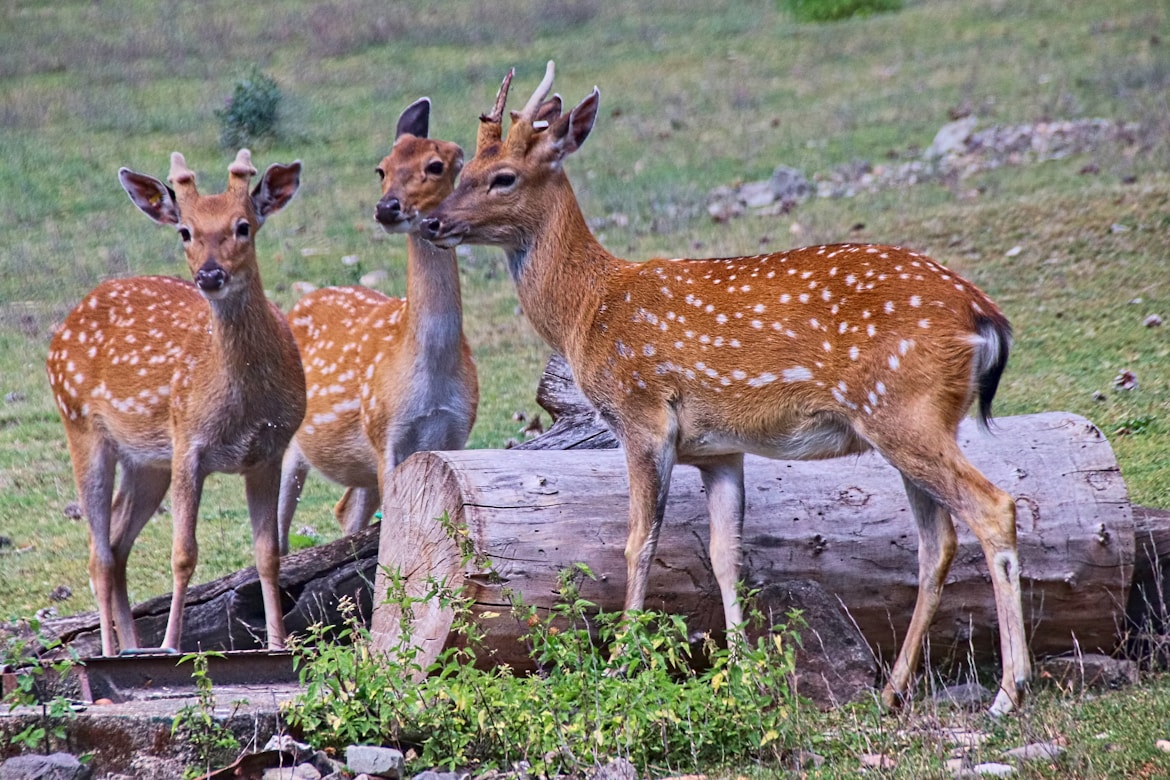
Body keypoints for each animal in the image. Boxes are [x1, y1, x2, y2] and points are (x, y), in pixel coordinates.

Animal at [47, 149, 304, 654]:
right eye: (185, 231)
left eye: (243, 226)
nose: (210, 274)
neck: (243, 403)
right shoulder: (189, 442)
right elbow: (184, 553)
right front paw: (171, 645)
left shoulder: (269, 450)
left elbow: (268, 553)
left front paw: (278, 644)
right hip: (80, 425)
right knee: (98, 556)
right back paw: (111, 652)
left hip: (147, 461)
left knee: (118, 546)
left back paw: (132, 647)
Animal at [276, 97, 477, 551]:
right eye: (381, 169)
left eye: (436, 165)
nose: (387, 207)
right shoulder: (385, 432)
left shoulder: (457, 433)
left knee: (345, 510)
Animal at [425, 64, 1029, 715]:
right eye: (464, 168)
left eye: (503, 176)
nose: (431, 221)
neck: (590, 310)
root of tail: (985, 316)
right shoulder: (720, 450)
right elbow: (724, 555)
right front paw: (741, 673)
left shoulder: (643, 413)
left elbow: (639, 542)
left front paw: (619, 668)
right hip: (910, 422)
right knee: (936, 542)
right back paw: (892, 690)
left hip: (903, 408)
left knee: (994, 508)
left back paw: (1007, 692)